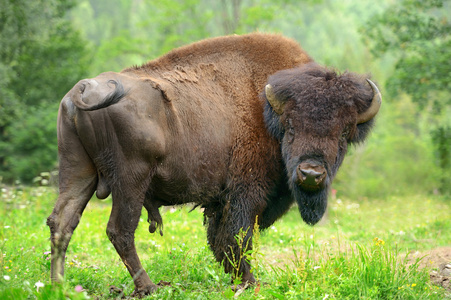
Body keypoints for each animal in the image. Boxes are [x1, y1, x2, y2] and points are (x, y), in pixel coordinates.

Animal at [48, 31, 382, 294]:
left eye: (343, 133)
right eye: (291, 127)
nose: (310, 173)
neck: (267, 110)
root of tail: (82, 90)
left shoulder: (222, 201)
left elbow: (221, 240)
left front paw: (238, 278)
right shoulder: (246, 192)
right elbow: (236, 237)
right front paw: (249, 281)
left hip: (77, 170)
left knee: (62, 222)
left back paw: (58, 285)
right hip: (131, 179)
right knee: (120, 230)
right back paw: (149, 287)